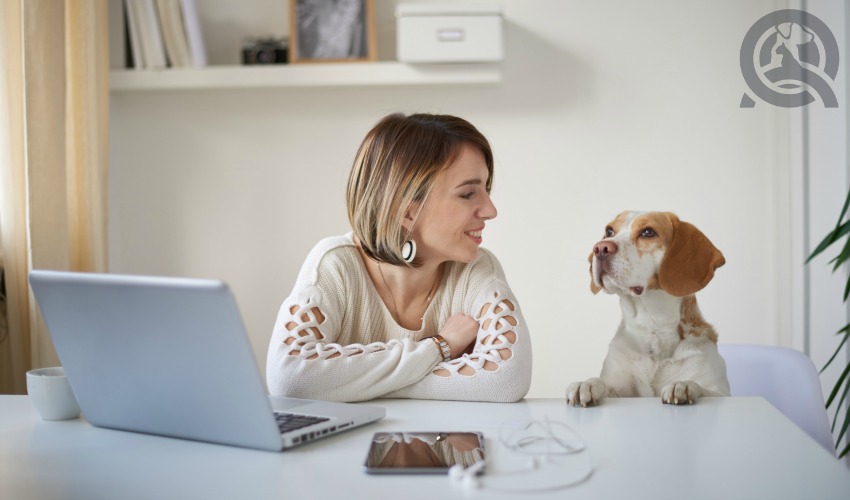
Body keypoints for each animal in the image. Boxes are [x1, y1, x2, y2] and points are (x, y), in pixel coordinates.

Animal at [568, 211, 724, 406]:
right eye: (609, 231)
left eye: (648, 232)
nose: (600, 248)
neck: (651, 322)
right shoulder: (618, 386)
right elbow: (602, 384)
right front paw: (587, 384)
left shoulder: (720, 390)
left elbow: (703, 388)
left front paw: (684, 385)